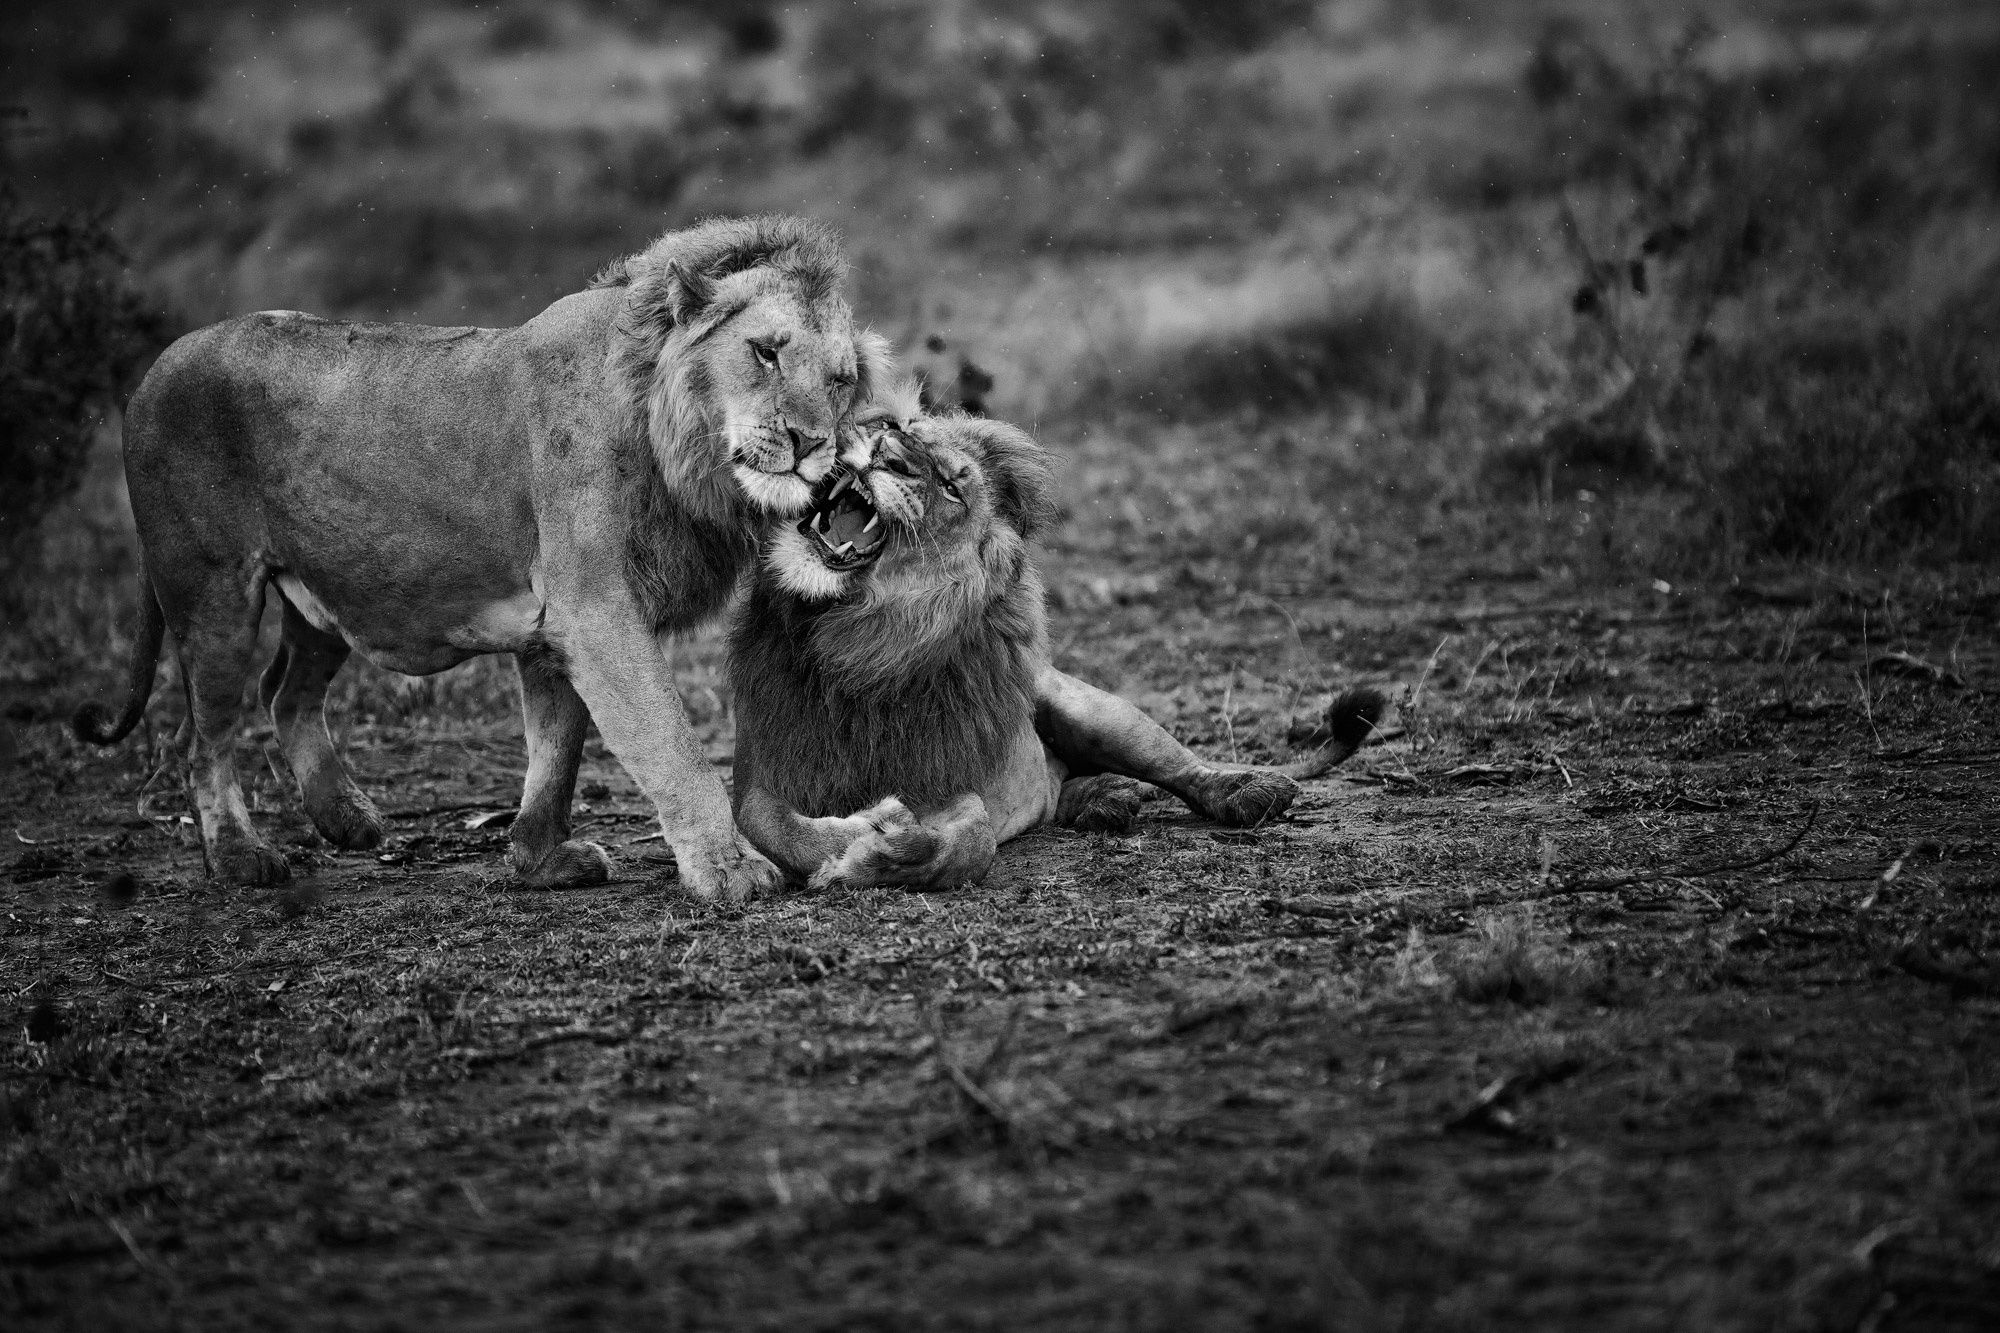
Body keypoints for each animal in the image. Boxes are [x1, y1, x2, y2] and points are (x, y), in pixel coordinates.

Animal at [72, 215, 889, 901]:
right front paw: (727, 870)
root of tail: (150, 372)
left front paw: (538, 859)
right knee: (200, 734)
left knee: (286, 693)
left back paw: (348, 820)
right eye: (766, 351)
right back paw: (242, 857)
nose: (812, 442)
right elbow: (669, 743)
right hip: (212, 592)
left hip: (328, 595)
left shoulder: (557, 624)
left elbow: (556, 749)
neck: (677, 445)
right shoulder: (597, 610)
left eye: (840, 380)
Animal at [728, 405, 1385, 889]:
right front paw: (852, 840)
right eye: (897, 429)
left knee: (1183, 767)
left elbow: (971, 843)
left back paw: (1245, 792)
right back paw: (1103, 800)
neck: (858, 640)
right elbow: (778, 827)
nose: (886, 452)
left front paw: (884, 850)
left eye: (952, 488)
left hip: (1094, 710)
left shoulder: (949, 782)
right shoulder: (763, 776)